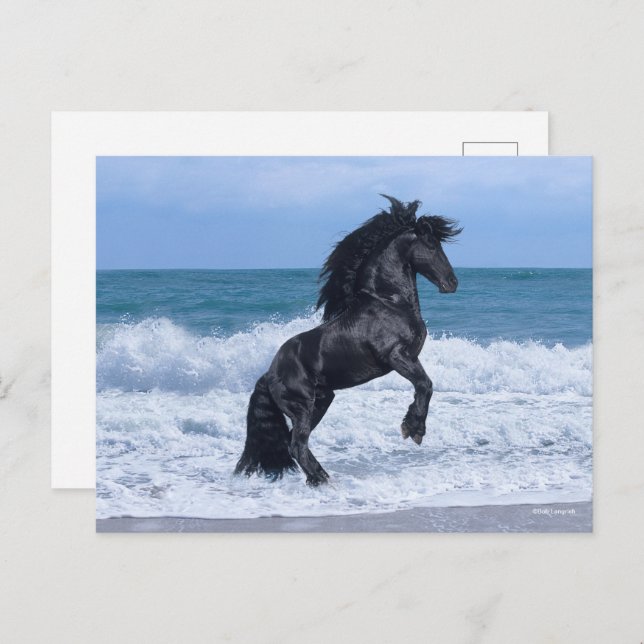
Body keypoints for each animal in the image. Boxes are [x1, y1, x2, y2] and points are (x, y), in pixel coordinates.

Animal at [234, 195, 462, 485]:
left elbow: (425, 385)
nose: (452, 282)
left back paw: (321, 477)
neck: (388, 302)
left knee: (295, 443)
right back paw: (321, 481)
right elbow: (425, 384)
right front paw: (413, 429)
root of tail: (268, 373)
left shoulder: (409, 357)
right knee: (297, 444)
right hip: (302, 406)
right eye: (431, 244)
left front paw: (413, 427)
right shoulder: (395, 355)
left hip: (322, 400)